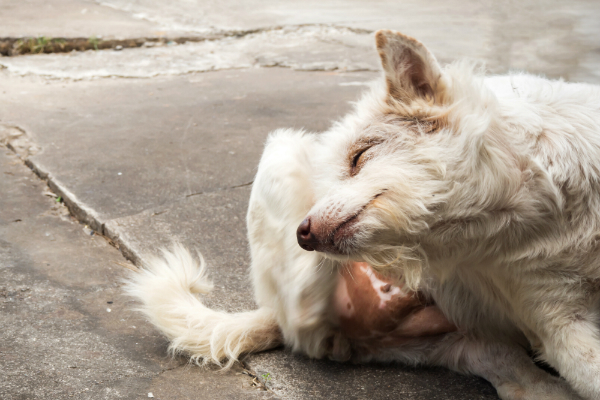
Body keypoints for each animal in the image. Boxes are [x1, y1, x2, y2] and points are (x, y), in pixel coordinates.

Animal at [123, 29, 600, 398]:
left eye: (359, 156)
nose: (303, 233)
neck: (543, 215)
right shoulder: (557, 323)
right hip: (283, 150)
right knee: (301, 305)